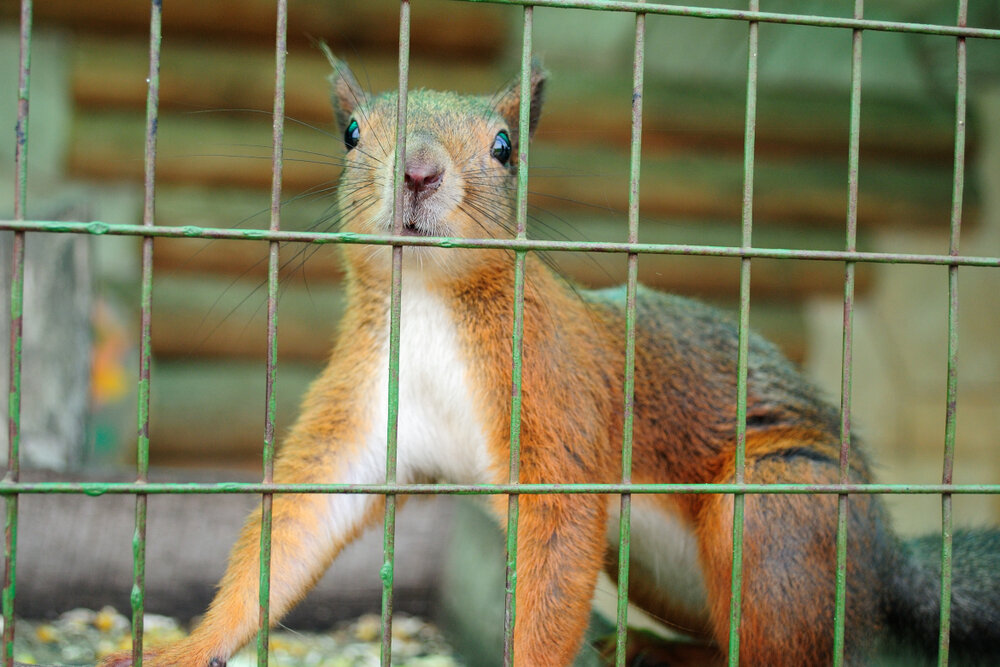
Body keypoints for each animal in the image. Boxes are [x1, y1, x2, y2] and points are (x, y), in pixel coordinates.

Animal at [99, 54, 1000, 667]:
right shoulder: (365, 408)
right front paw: (185, 645)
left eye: (504, 148)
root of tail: (885, 559)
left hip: (779, 513)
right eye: (352, 134)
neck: (431, 303)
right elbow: (295, 522)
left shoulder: (557, 394)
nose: (418, 170)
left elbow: (557, 548)